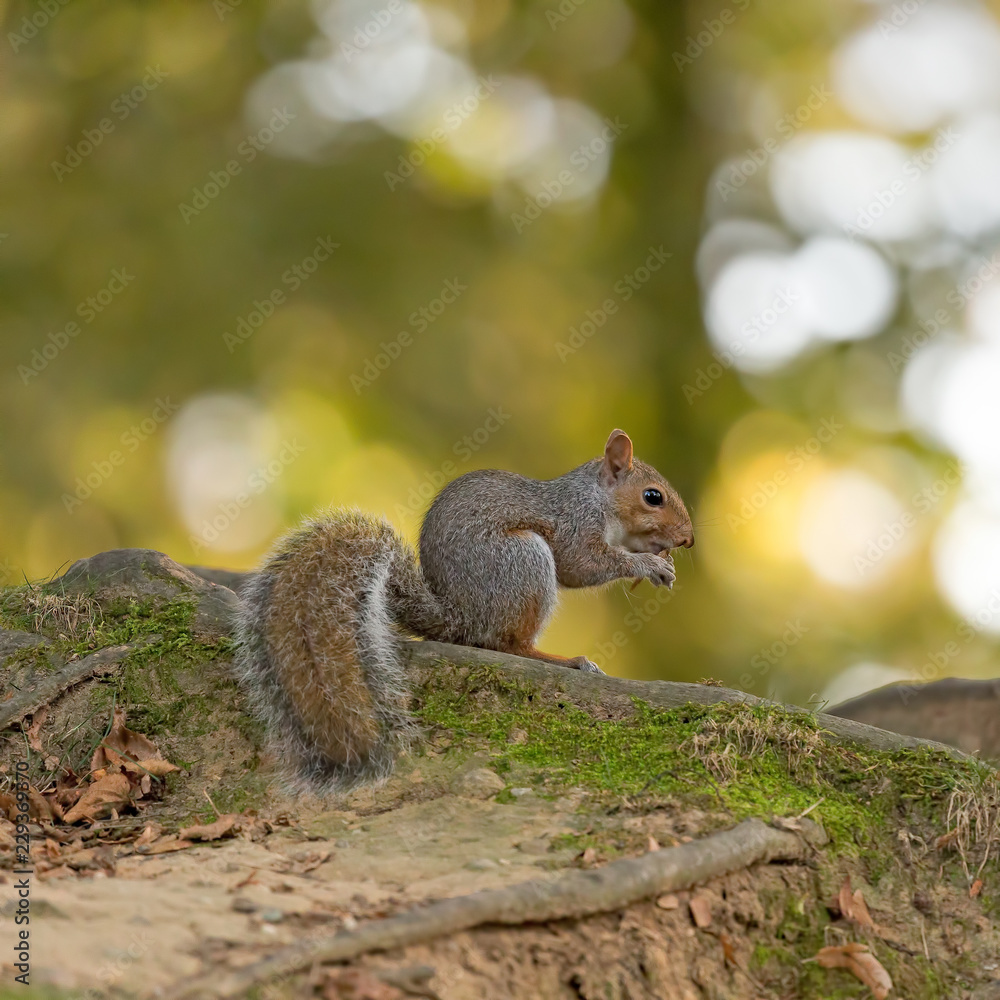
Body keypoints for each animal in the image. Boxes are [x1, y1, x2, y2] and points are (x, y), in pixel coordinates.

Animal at [235, 426, 692, 792]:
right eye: (653, 497)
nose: (687, 539)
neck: (595, 497)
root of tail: (460, 618)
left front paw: (660, 563)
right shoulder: (574, 525)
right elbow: (582, 565)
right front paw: (646, 564)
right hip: (523, 563)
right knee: (508, 645)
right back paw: (565, 660)